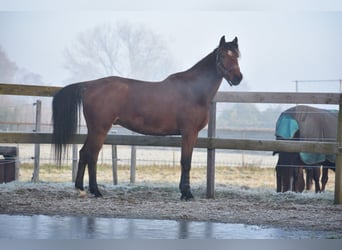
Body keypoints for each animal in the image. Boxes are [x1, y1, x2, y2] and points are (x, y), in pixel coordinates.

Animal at [51, 35, 243, 199]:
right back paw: (96, 190)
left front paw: (184, 192)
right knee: (91, 155)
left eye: (237, 56)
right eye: (223, 55)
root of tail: (90, 85)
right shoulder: (189, 132)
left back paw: (81, 188)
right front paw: (187, 194)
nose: (238, 78)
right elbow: (185, 162)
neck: (194, 90)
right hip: (99, 129)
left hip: (94, 130)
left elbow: (185, 162)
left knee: (84, 153)